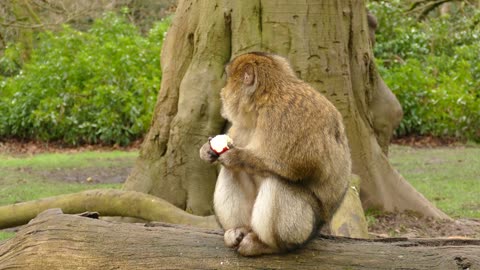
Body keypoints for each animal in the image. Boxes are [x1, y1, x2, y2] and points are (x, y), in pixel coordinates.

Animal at [199, 51, 352, 256]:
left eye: (229, 79)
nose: (222, 92)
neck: (264, 100)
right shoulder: (245, 124)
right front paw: (206, 150)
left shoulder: (286, 116)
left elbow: (299, 166)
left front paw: (236, 157)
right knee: (232, 172)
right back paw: (239, 230)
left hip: (304, 229)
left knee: (277, 182)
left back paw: (268, 245)